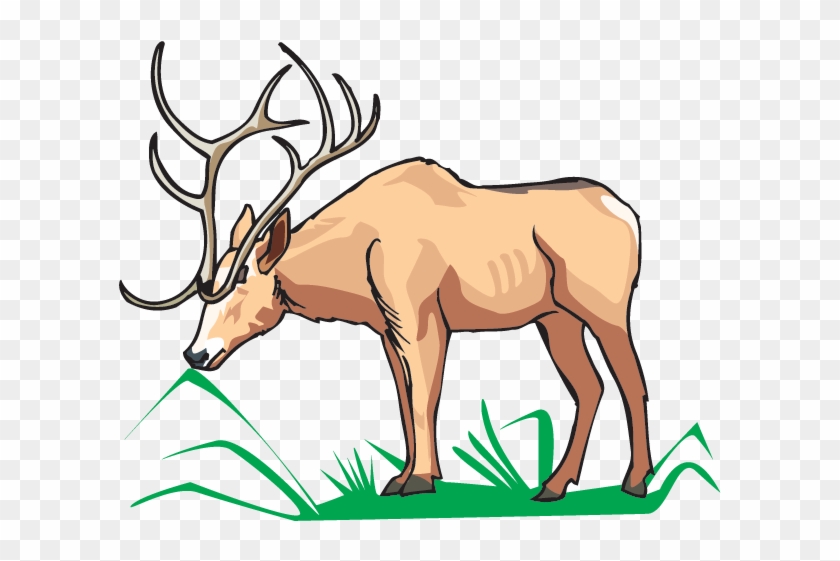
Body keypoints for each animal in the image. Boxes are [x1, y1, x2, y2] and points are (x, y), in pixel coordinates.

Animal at [120, 42, 654, 502]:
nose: (197, 353)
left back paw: (635, 481)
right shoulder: (385, 328)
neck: (352, 267)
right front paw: (402, 475)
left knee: (631, 379)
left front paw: (420, 480)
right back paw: (553, 485)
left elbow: (425, 397)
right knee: (590, 386)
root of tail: (630, 214)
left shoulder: (421, 317)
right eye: (207, 291)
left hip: (604, 306)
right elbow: (403, 398)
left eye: (243, 283)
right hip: (555, 318)